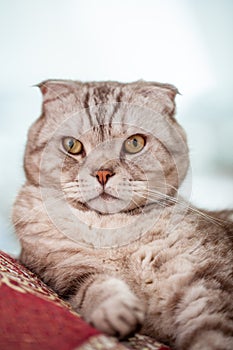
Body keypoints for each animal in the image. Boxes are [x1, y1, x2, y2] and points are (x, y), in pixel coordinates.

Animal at [12, 80, 233, 350]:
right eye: (72, 145)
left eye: (134, 143)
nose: (103, 173)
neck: (112, 230)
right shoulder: (64, 274)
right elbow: (95, 286)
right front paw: (117, 311)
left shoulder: (209, 279)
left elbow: (213, 332)